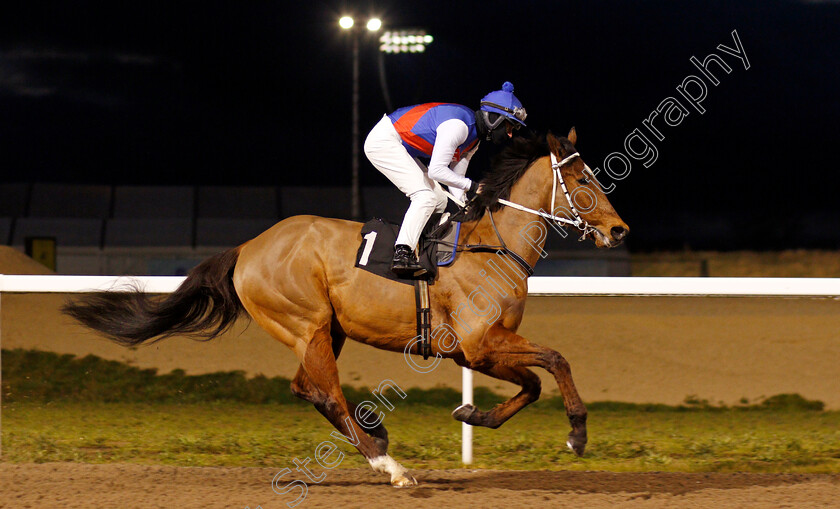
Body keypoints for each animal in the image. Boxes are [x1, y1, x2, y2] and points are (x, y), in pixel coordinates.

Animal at [64, 129, 632, 486]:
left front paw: (472, 413)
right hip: (307, 325)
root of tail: (248, 247)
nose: (620, 229)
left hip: (325, 330)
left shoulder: (479, 351)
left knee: (305, 387)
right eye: (583, 181)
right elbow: (556, 360)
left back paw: (375, 437)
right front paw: (577, 434)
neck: (491, 246)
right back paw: (389, 464)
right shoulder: (478, 344)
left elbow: (533, 383)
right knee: (327, 393)